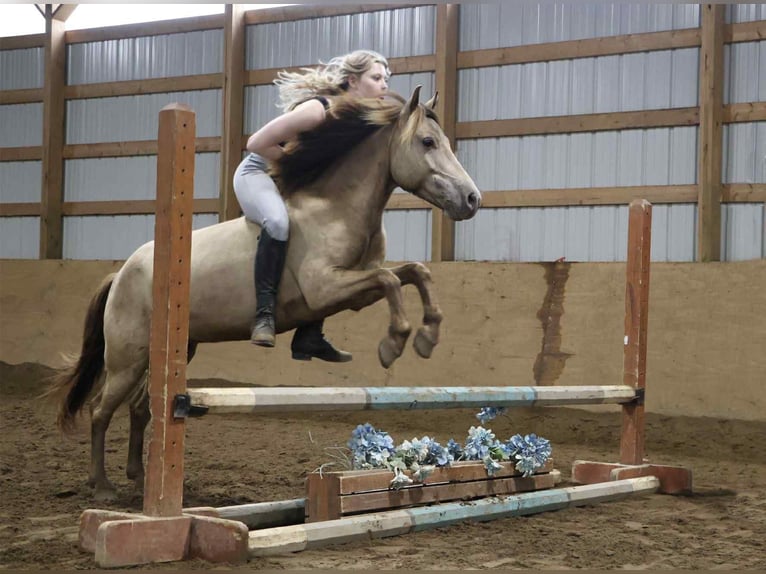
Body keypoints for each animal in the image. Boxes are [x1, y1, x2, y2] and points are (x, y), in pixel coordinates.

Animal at [49, 86, 482, 501]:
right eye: (427, 142)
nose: (472, 199)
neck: (336, 206)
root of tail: (122, 271)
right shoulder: (328, 287)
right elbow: (392, 282)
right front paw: (395, 344)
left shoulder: (354, 286)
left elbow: (415, 273)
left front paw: (427, 337)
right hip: (127, 358)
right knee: (101, 411)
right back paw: (103, 486)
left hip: (173, 349)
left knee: (142, 410)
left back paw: (139, 479)